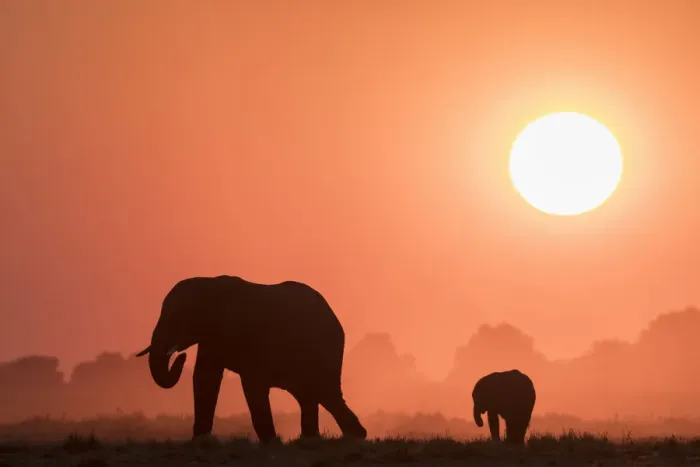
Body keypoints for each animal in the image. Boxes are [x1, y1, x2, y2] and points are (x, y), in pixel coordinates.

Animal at [135, 275, 368, 444]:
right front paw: (199, 441)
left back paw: (352, 437)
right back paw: (319, 439)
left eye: (177, 316)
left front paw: (271, 443)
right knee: (311, 395)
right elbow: (205, 377)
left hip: (324, 349)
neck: (207, 284)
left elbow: (252, 383)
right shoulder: (212, 337)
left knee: (324, 392)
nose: (180, 356)